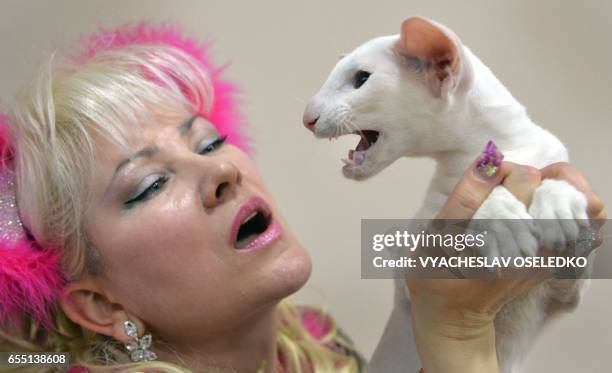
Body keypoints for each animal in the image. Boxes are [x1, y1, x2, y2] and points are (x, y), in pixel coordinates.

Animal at [304, 16, 592, 370]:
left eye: (360, 79)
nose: (306, 118)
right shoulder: (411, 267)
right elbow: (451, 217)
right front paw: (501, 221)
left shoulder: (567, 295)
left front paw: (558, 204)